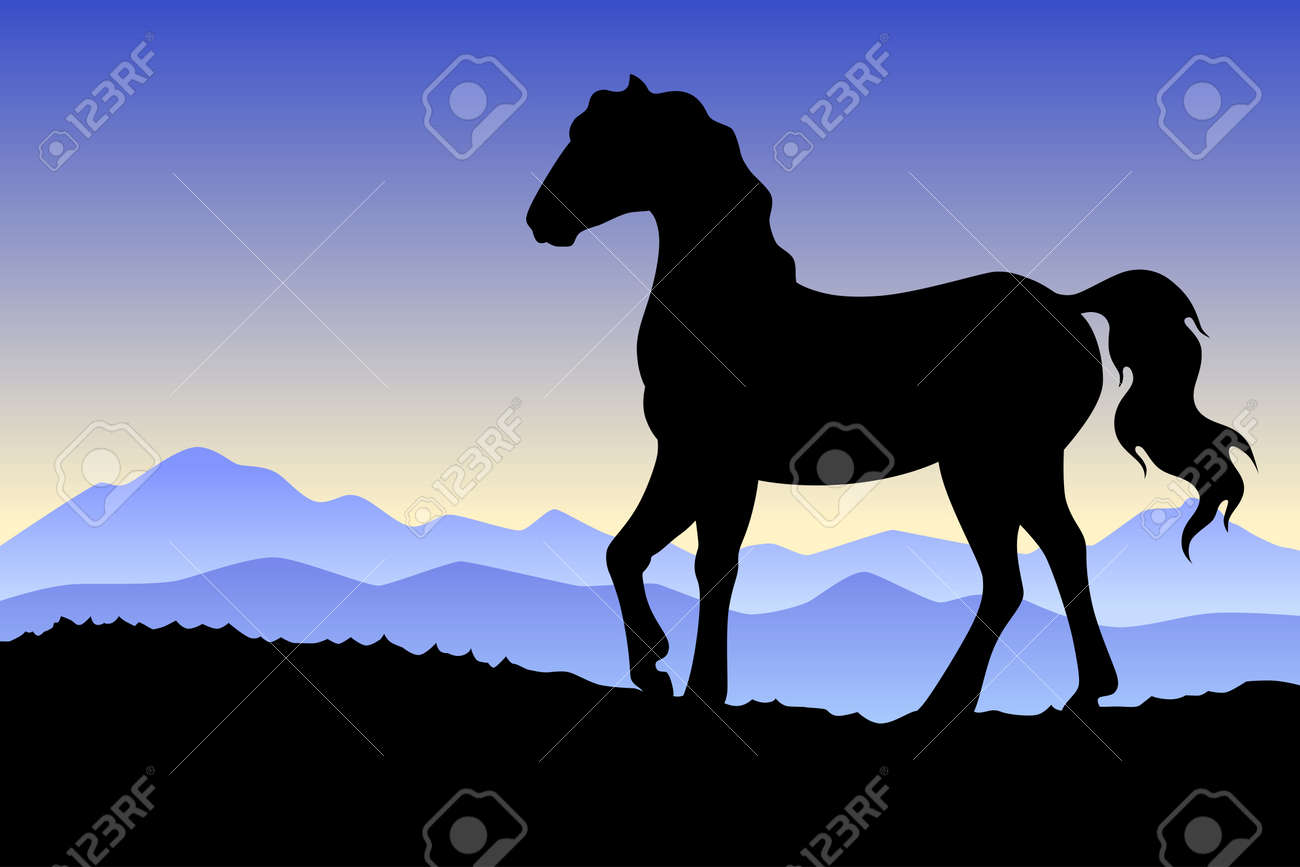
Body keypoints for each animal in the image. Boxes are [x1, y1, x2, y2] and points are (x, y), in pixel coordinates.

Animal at [525, 75, 1254, 718]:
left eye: (602, 140)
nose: (539, 221)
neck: (728, 310)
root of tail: (1067, 306)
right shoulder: (689, 459)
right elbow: (628, 550)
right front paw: (657, 670)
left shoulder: (715, 462)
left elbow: (710, 566)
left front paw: (696, 686)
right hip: (1009, 467)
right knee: (1044, 559)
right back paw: (1048, 695)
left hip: (992, 465)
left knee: (1025, 569)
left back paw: (953, 705)